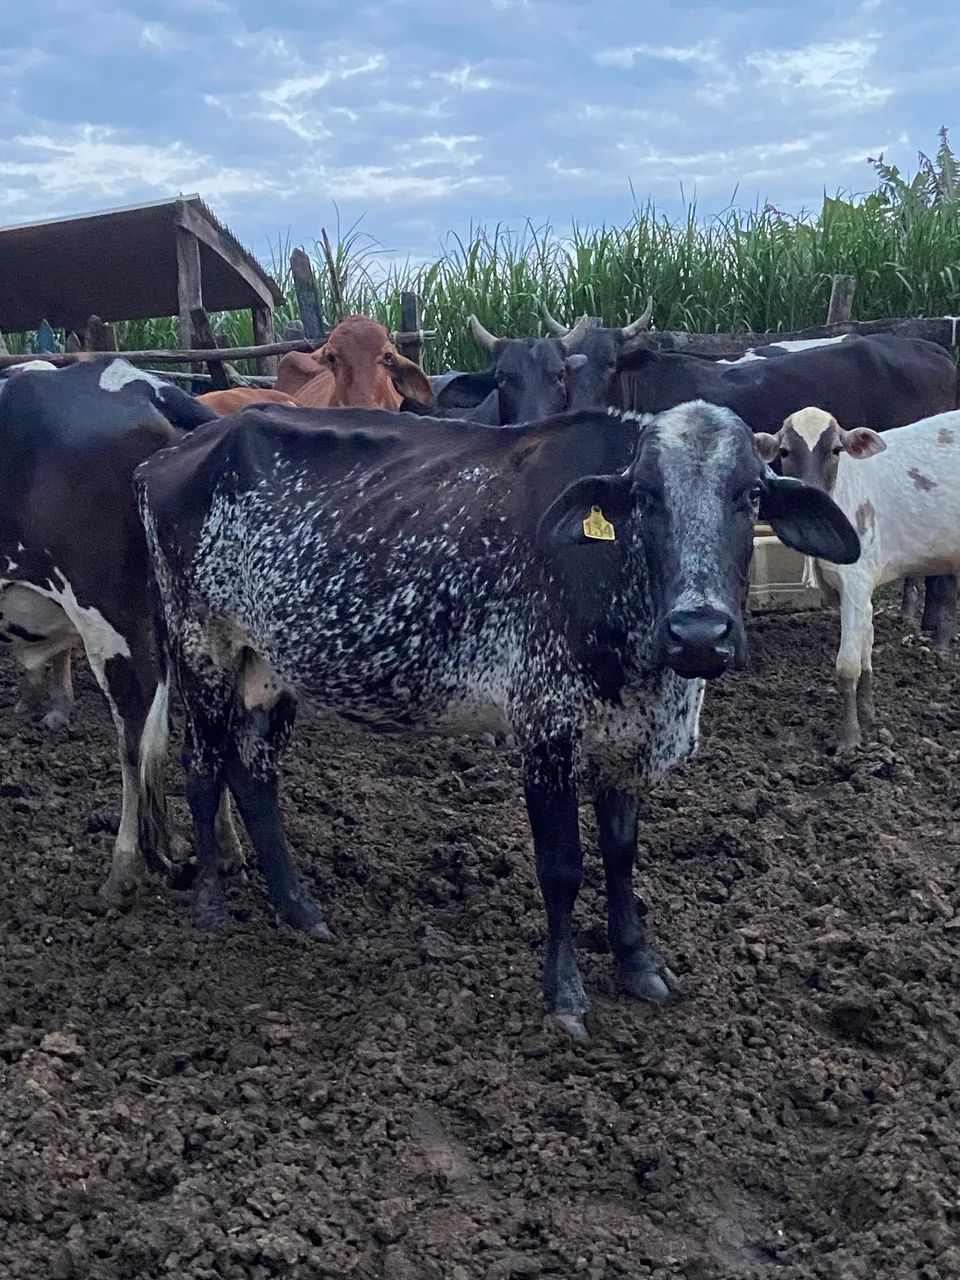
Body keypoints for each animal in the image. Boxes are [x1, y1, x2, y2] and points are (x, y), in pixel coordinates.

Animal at [135, 398, 858, 1037]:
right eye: (647, 498)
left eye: (751, 495)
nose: (699, 632)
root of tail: (168, 456)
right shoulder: (545, 733)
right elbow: (562, 868)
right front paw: (565, 995)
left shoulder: (626, 745)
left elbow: (621, 855)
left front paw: (638, 963)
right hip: (202, 651)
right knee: (202, 771)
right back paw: (212, 906)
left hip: (269, 669)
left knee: (254, 777)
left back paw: (299, 908)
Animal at [757, 406, 960, 748]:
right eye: (784, 451)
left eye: (836, 449)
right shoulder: (853, 592)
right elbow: (865, 654)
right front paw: (868, 717)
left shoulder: (856, 582)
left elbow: (847, 664)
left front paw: (850, 737)